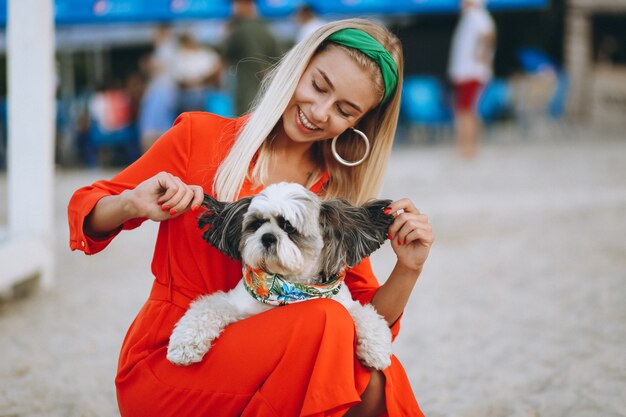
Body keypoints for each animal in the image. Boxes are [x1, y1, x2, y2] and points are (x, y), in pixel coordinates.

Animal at [166, 181, 390, 368]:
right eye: (256, 224)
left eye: (289, 227)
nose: (267, 237)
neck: (287, 287)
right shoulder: (233, 302)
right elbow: (207, 308)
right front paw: (184, 345)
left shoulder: (344, 303)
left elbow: (366, 314)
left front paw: (377, 350)